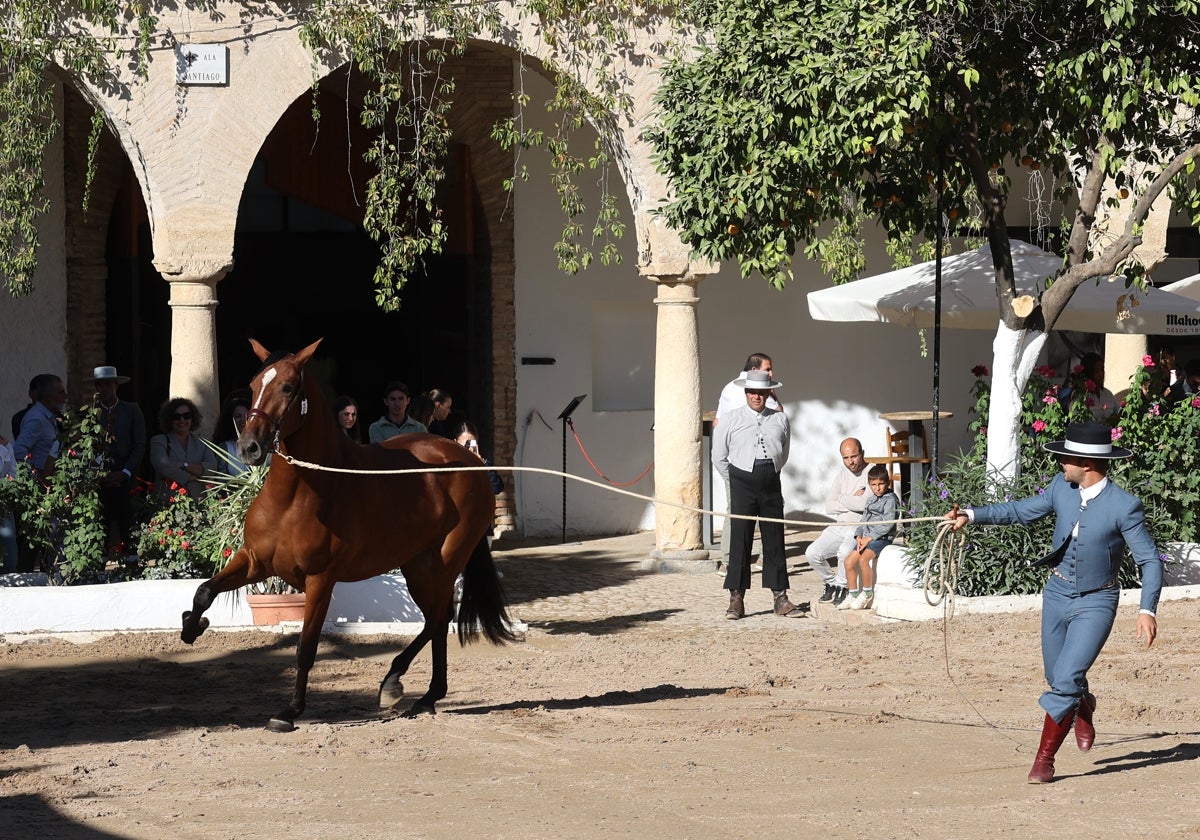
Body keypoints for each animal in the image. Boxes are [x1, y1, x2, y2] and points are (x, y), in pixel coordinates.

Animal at [178, 338, 516, 729]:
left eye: (288, 388)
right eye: (253, 384)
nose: (248, 447)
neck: (297, 494)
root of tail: (470, 460)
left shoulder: (320, 579)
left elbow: (306, 646)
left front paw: (290, 712)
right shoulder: (255, 562)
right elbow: (204, 591)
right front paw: (191, 627)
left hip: (446, 561)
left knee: (437, 618)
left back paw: (395, 682)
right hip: (417, 566)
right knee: (438, 618)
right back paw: (428, 697)